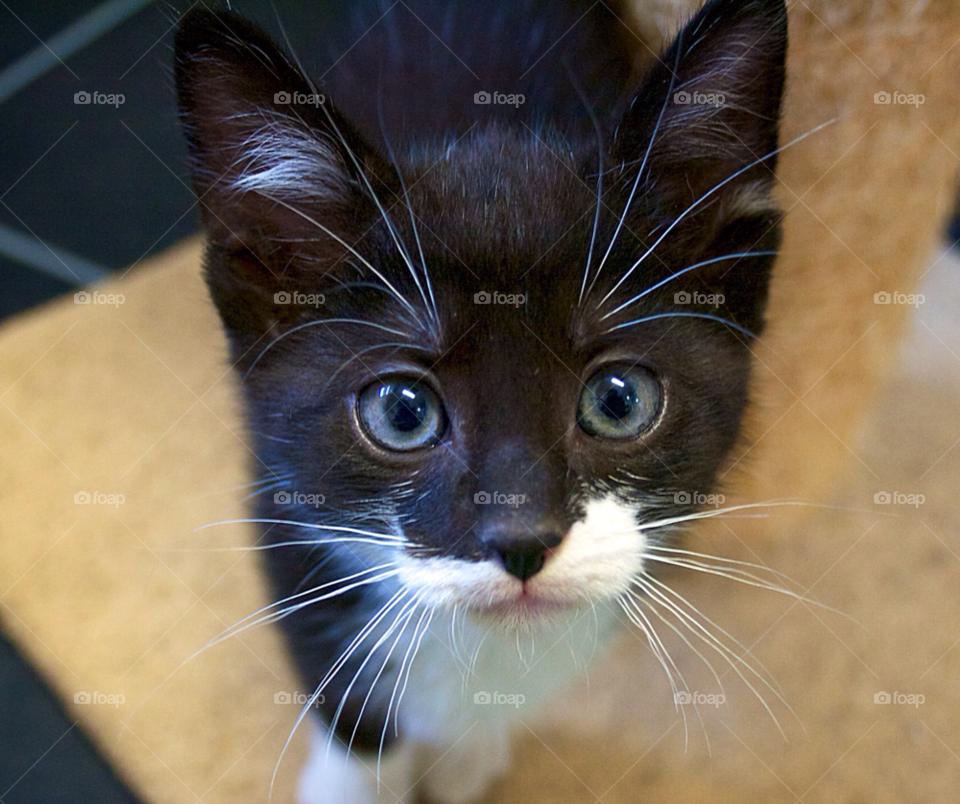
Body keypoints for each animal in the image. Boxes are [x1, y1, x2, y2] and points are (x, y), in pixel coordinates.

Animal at [176, 1, 784, 796]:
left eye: (618, 401)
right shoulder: (281, 506)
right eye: (402, 412)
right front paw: (354, 783)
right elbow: (343, 686)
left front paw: (467, 752)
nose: (521, 539)